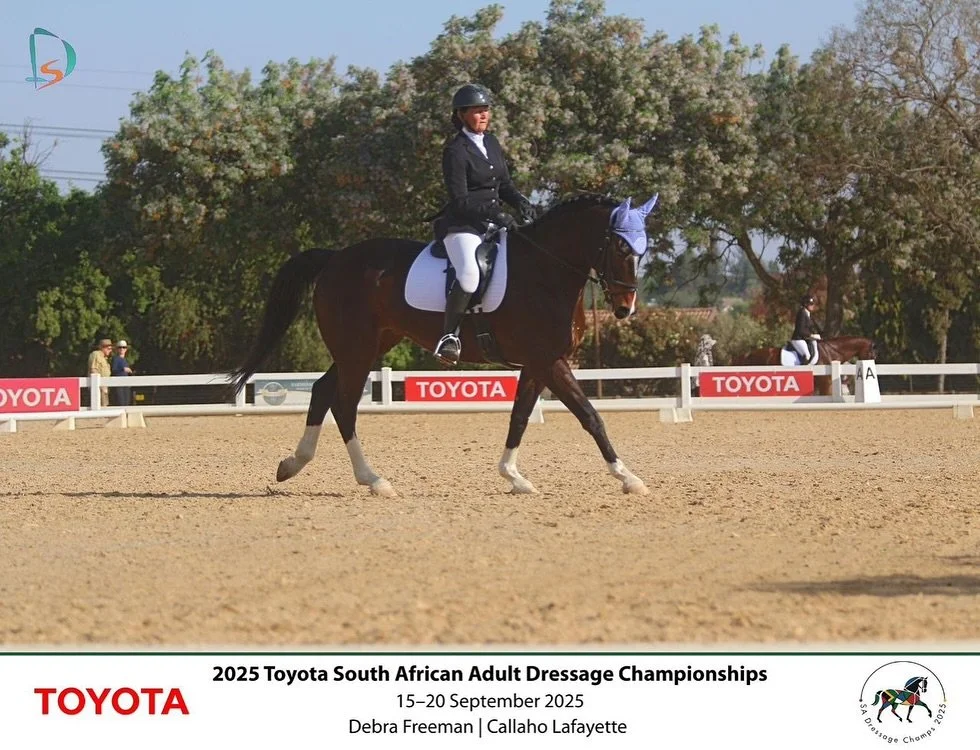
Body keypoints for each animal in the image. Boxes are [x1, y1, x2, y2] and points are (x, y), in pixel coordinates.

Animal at [231, 194, 659, 497]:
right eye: (621, 248)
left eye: (643, 249)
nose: (625, 308)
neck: (545, 270)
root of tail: (336, 258)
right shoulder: (548, 360)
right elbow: (590, 415)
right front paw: (628, 477)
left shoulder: (539, 362)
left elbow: (520, 416)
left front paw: (513, 476)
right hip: (357, 348)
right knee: (344, 404)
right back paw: (374, 480)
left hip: (369, 345)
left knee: (323, 391)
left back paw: (293, 464)